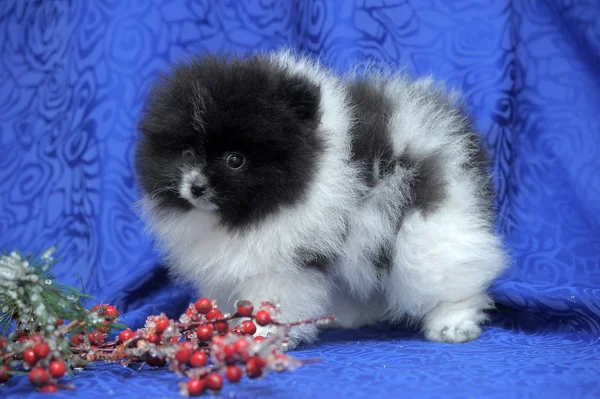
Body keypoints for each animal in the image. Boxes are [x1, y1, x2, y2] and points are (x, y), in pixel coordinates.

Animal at [135, 50, 506, 350]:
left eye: (234, 160)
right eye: (186, 152)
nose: (196, 187)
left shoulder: (283, 263)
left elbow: (270, 304)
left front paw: (260, 338)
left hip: (427, 224)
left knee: (450, 270)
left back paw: (452, 322)